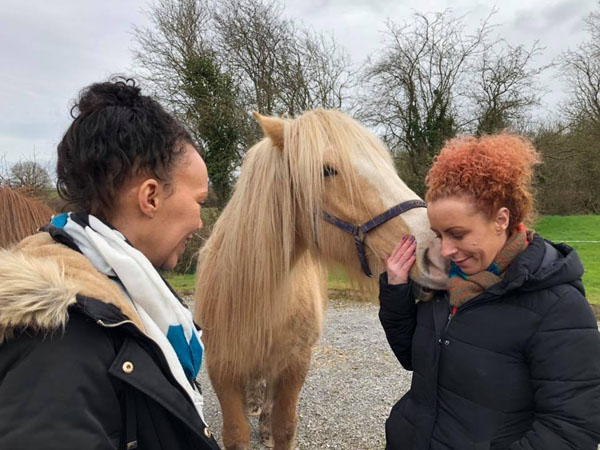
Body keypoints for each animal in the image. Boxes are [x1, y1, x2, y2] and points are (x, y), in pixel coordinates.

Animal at [195, 110, 448, 450]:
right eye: (326, 170)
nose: (436, 251)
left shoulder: (295, 365)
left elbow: (284, 427)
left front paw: (270, 427)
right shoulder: (222, 368)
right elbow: (236, 434)